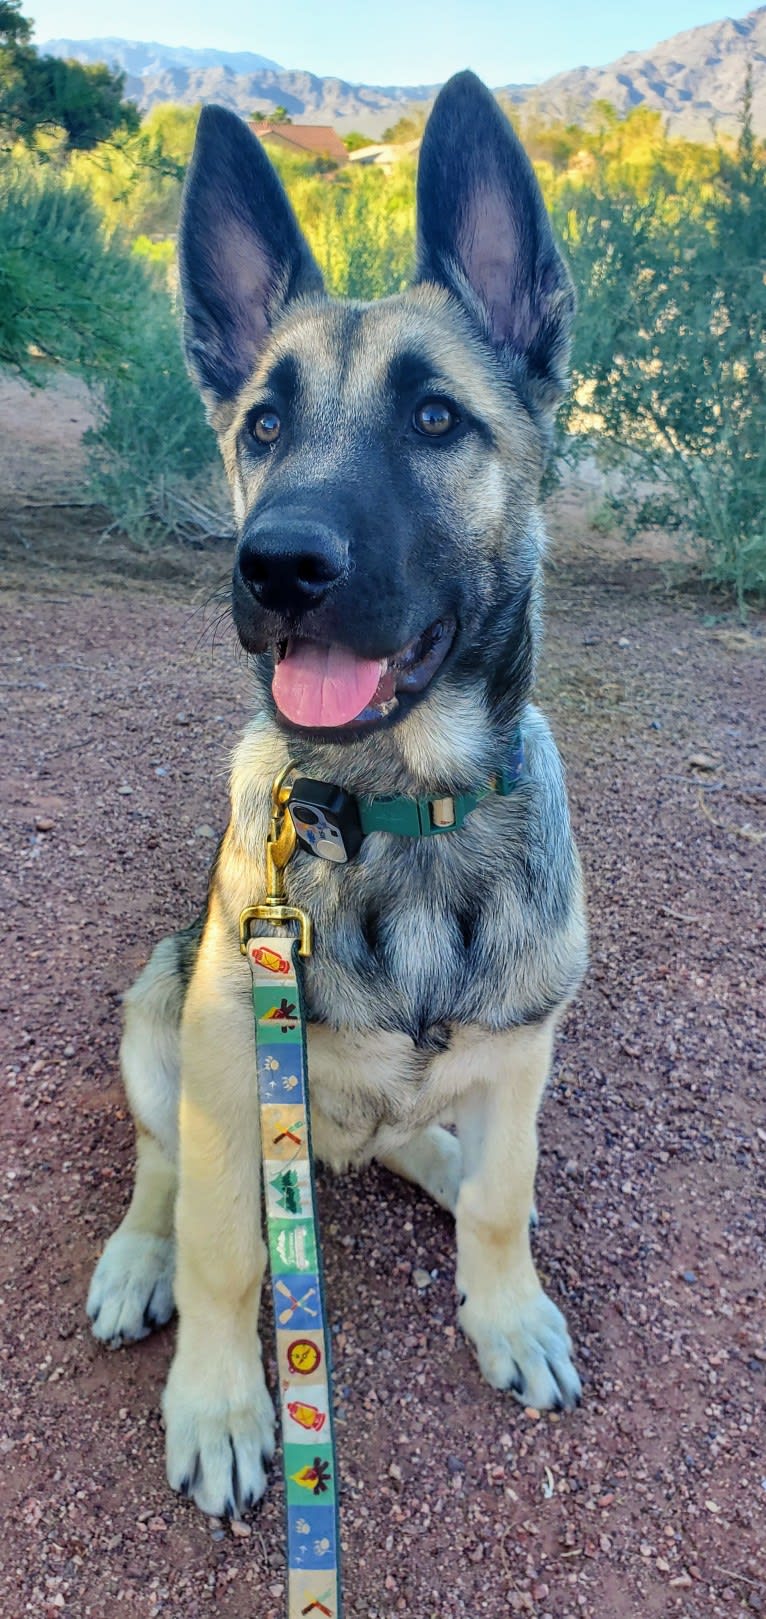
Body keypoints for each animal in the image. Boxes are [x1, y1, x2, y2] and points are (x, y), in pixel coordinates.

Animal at [86, 72, 586, 1515]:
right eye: (263, 425)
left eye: (436, 418)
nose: (277, 567)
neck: (398, 814)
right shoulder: (220, 1064)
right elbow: (228, 1251)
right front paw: (219, 1403)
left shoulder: (522, 1050)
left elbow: (503, 1199)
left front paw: (506, 1306)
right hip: (163, 998)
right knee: (163, 1166)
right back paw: (136, 1256)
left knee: (426, 1144)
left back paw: (432, 1158)